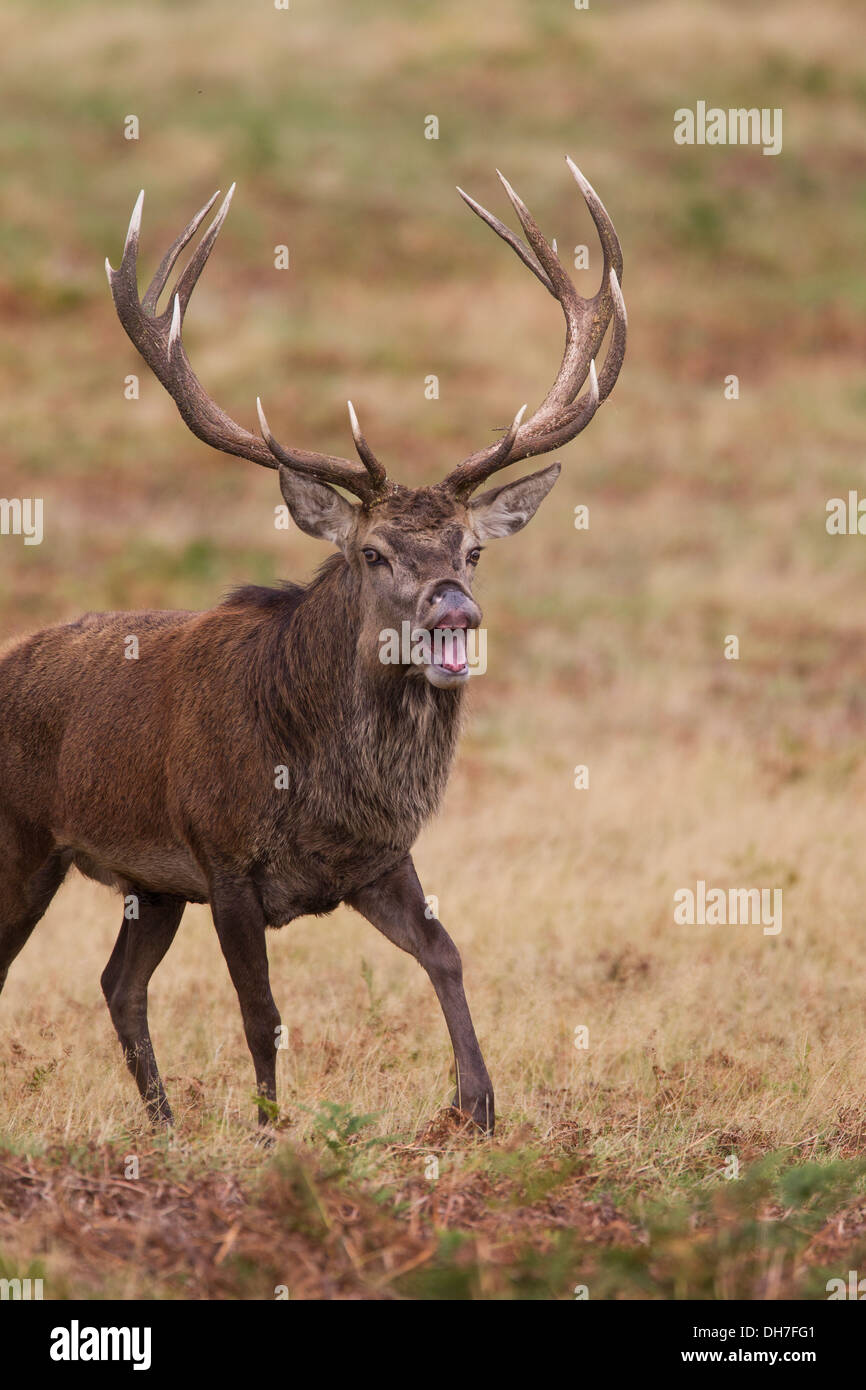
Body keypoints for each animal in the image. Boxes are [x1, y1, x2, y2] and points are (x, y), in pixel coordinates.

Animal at [0, 159, 625, 1136]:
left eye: (472, 550)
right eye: (373, 553)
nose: (456, 614)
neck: (321, 781)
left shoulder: (377, 860)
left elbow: (446, 953)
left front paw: (478, 1107)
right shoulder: (223, 861)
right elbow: (262, 1012)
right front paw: (271, 1130)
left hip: (149, 883)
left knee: (117, 983)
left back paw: (166, 1126)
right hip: (27, 839)